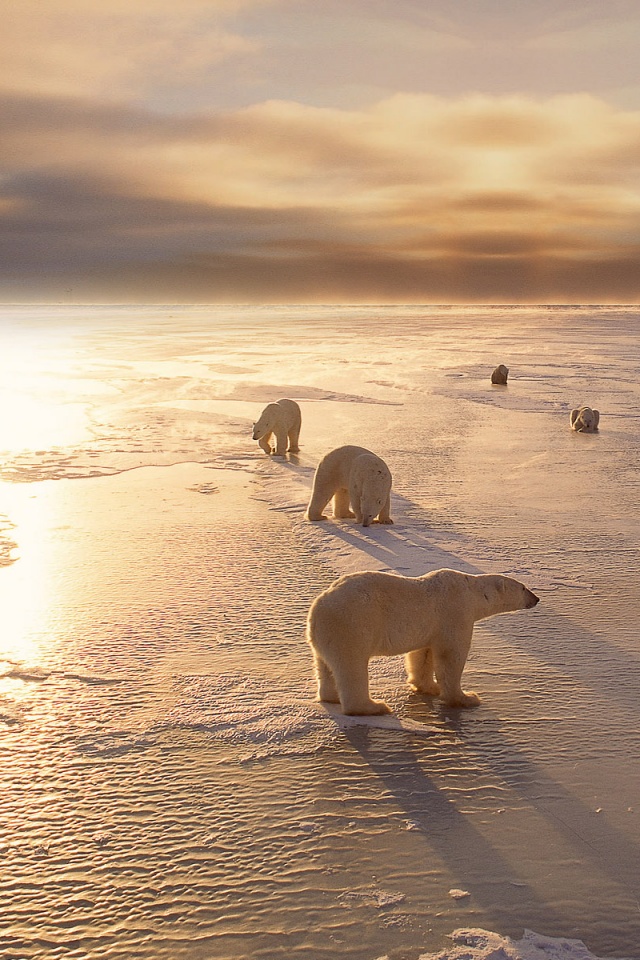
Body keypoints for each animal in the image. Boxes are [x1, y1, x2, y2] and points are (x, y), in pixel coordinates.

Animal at [308, 568, 536, 716]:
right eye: (524, 588)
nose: (536, 599)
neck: (471, 591)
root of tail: (318, 607)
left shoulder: (430, 628)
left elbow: (423, 654)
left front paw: (429, 687)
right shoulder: (455, 612)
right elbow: (451, 657)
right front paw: (467, 698)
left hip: (326, 636)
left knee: (325, 666)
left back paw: (330, 697)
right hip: (352, 625)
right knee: (352, 667)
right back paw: (374, 707)